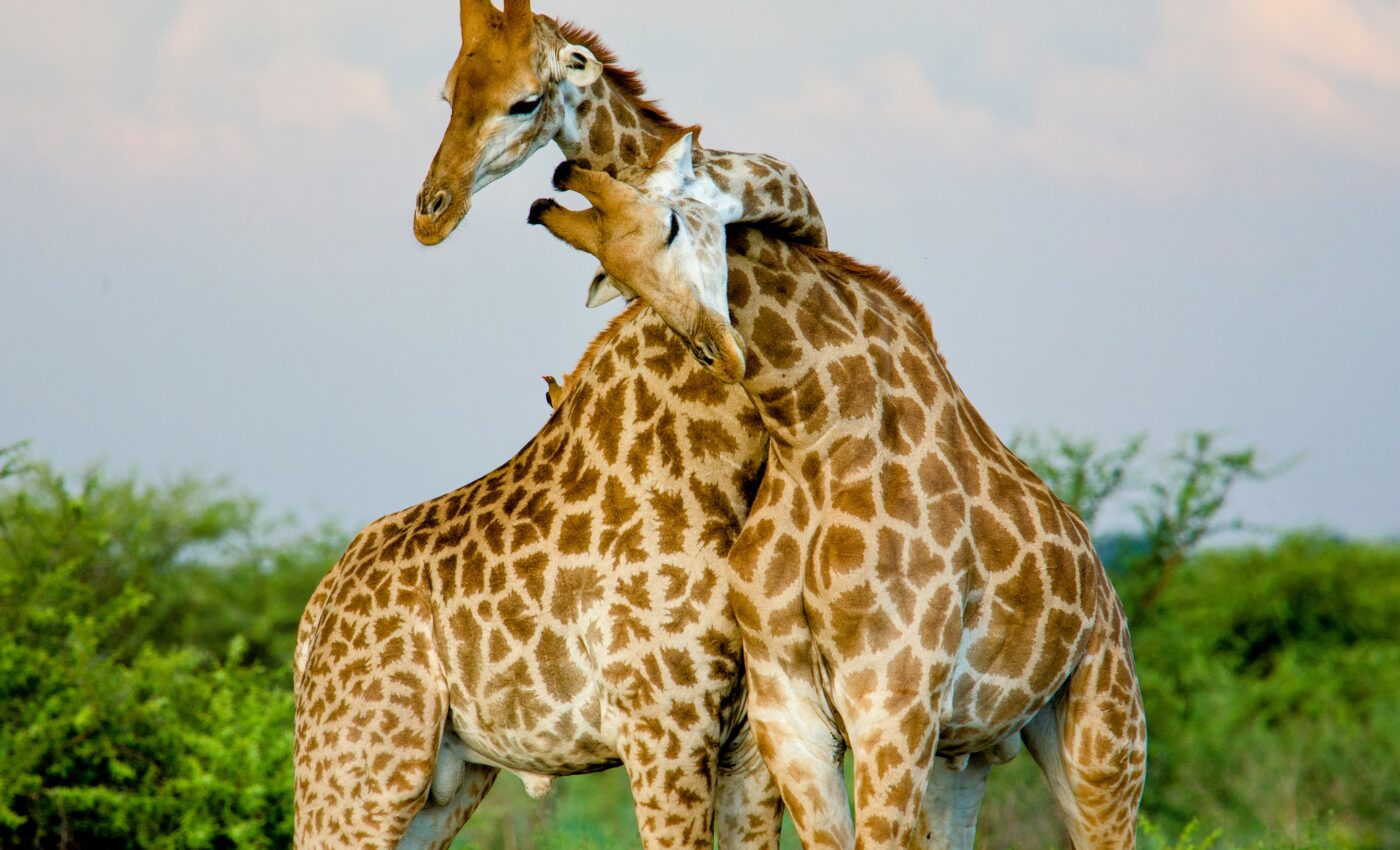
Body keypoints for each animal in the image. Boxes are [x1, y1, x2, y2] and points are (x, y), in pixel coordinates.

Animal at [529, 141, 1149, 850]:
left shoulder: (893, 707)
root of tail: (1103, 584)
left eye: (673, 227)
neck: (814, 442)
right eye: (618, 278)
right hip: (965, 754)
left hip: (1105, 735)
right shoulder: (789, 716)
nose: (719, 352)